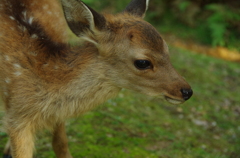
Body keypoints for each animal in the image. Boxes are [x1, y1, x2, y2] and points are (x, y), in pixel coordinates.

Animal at [0, 0, 191, 157]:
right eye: (142, 62)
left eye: (167, 49)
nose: (187, 91)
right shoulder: (17, 116)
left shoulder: (54, 115)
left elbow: (61, 145)